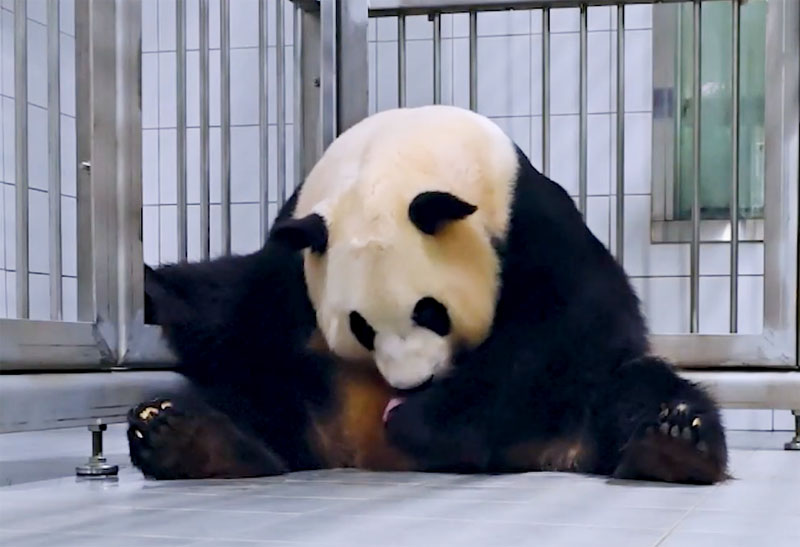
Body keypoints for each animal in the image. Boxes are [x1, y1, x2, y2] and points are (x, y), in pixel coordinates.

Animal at [129, 105, 728, 484]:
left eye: (430, 312)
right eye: (360, 327)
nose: (409, 386)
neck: (397, 152)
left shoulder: (534, 225)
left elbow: (566, 330)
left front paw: (422, 418)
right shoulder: (294, 257)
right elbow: (232, 311)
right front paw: (147, 287)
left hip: (566, 411)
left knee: (630, 388)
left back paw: (673, 443)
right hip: (304, 389)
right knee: (256, 398)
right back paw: (184, 437)